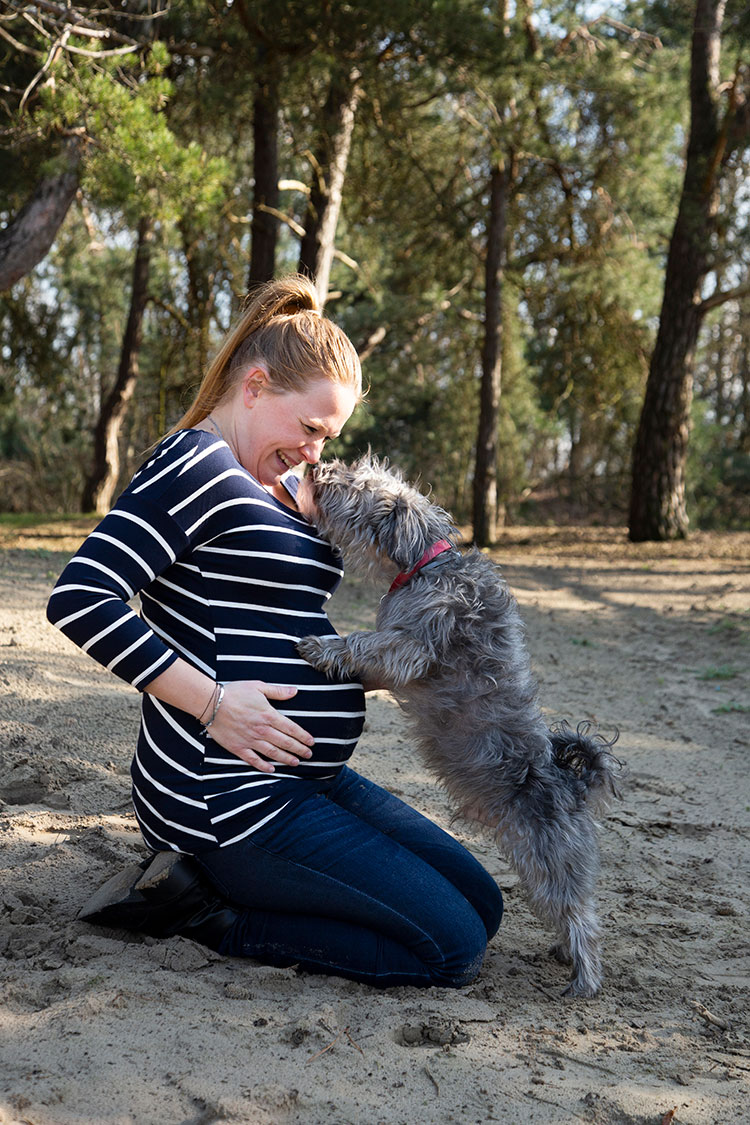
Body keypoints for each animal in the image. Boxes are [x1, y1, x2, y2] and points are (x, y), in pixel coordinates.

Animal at [296, 452, 620, 999]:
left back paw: (585, 979)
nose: (321, 466)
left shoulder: (406, 647)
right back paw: (562, 955)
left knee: (583, 919)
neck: (427, 565)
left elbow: (363, 642)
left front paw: (322, 647)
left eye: (356, 482)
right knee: (570, 914)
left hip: (548, 860)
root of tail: (573, 784)